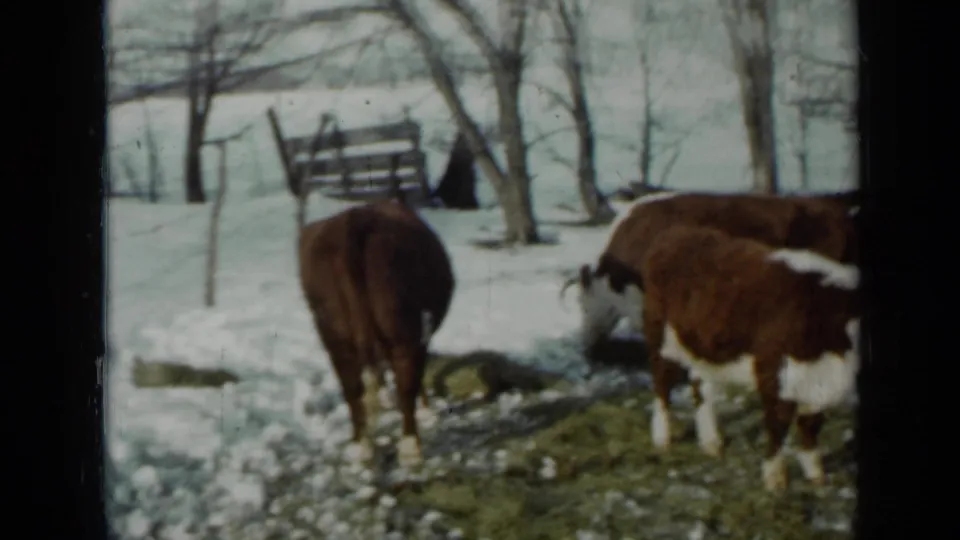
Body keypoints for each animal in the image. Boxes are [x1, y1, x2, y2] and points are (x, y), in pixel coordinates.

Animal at [298, 200, 455, 468]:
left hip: (334, 333)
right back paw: (410, 447)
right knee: (406, 380)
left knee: (352, 388)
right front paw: (426, 409)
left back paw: (361, 445)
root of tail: (354, 220)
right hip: (403, 327)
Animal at [635, 225, 859, 491]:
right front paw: (775, 477)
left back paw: (711, 442)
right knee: (662, 385)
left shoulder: (815, 383)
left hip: (704, 347)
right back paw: (663, 437)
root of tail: (677, 234)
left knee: (700, 387)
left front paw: (815, 472)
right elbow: (778, 425)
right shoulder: (774, 374)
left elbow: (810, 426)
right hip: (661, 337)